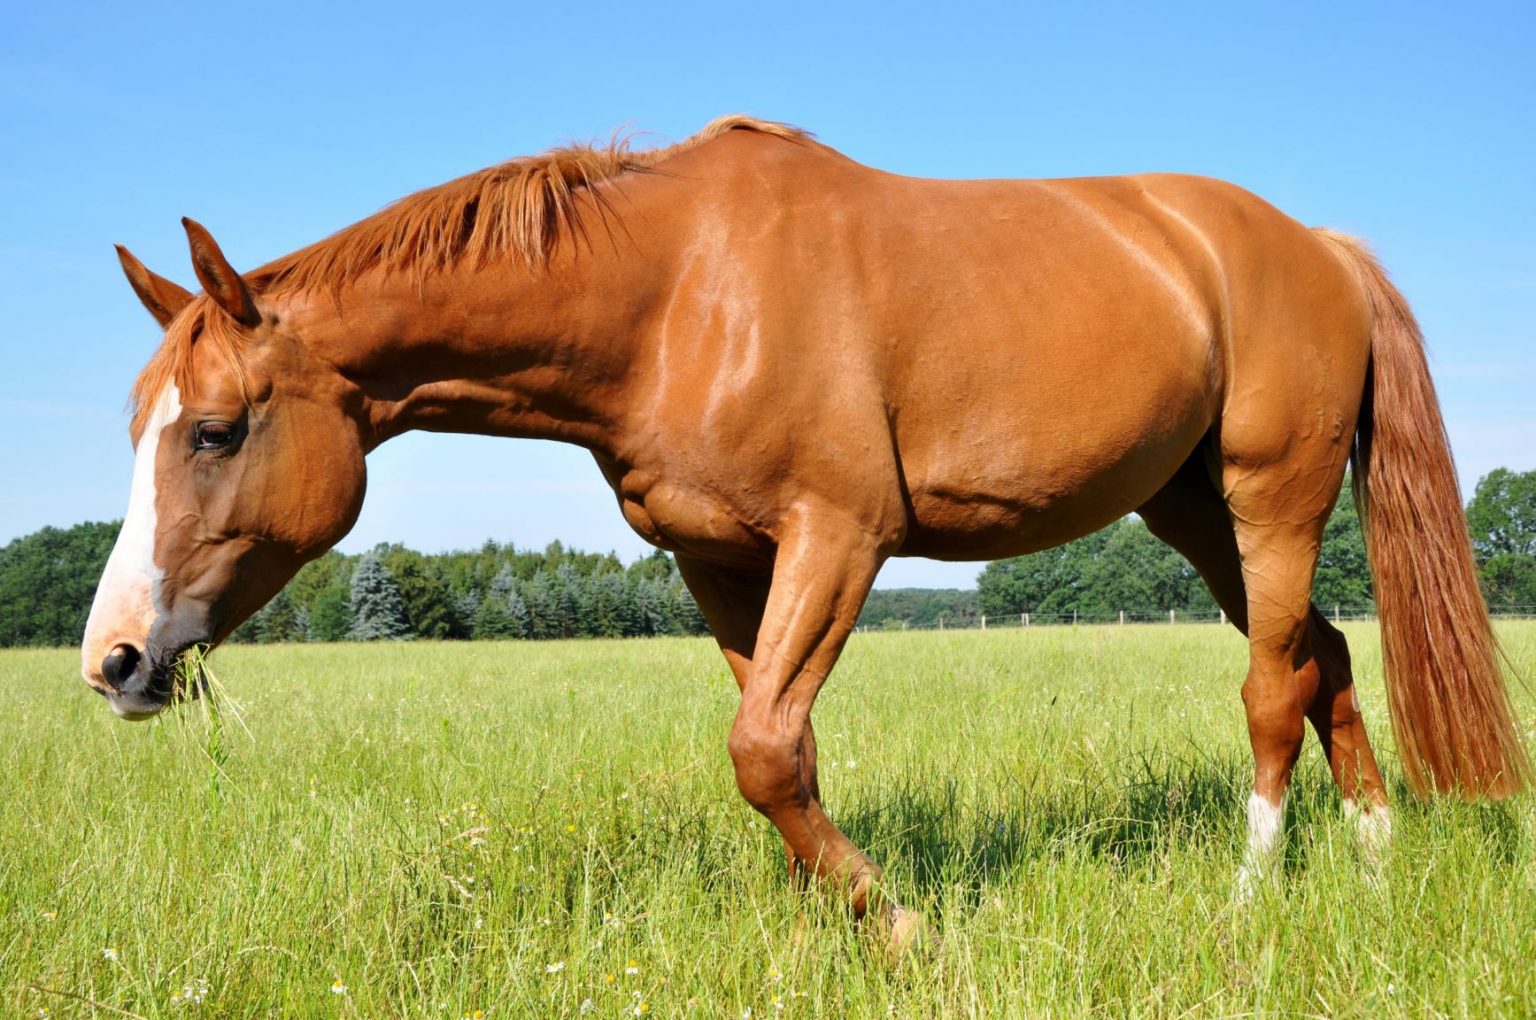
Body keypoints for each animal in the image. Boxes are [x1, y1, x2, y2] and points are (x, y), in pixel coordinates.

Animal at [81, 115, 1523, 933]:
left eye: (214, 430)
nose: (115, 661)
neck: (674, 295)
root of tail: (1315, 245)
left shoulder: (840, 536)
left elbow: (765, 752)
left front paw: (903, 930)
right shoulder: (725, 563)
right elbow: (787, 752)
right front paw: (818, 927)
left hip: (1269, 495)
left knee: (1272, 687)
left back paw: (1250, 900)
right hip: (1186, 510)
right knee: (1324, 656)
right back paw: (1378, 866)